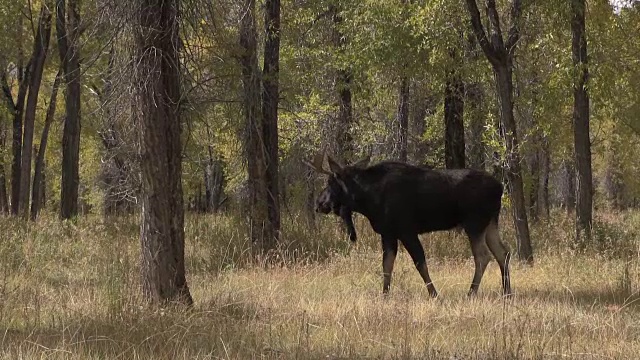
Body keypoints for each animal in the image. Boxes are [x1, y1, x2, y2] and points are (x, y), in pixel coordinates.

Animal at [304, 153, 510, 296]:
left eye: (330, 182)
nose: (319, 204)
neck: (368, 199)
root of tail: (500, 188)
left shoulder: (406, 230)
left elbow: (420, 263)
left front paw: (434, 294)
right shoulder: (388, 233)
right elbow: (387, 265)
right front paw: (384, 294)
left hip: (475, 223)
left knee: (483, 256)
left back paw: (471, 292)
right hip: (490, 223)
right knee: (503, 252)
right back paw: (507, 292)